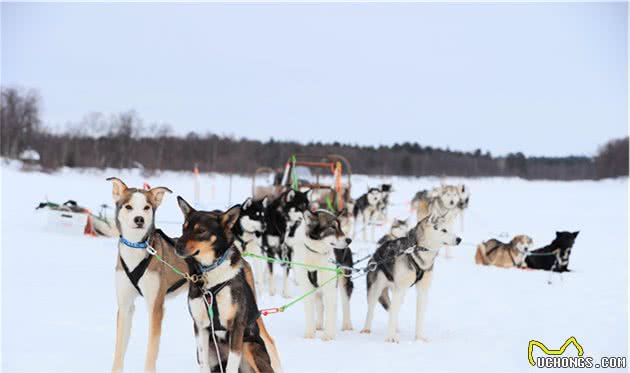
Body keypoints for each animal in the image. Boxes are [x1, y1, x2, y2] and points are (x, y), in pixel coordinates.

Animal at [108, 177, 189, 372]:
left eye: (146, 207)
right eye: (128, 206)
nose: (139, 219)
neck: (136, 250)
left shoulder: (156, 306)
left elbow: (151, 351)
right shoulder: (125, 305)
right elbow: (119, 350)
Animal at [174, 196, 280, 370]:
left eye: (201, 230)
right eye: (184, 228)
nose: (177, 245)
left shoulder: (237, 327)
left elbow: (231, 366)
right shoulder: (200, 327)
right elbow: (203, 363)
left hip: (248, 344)